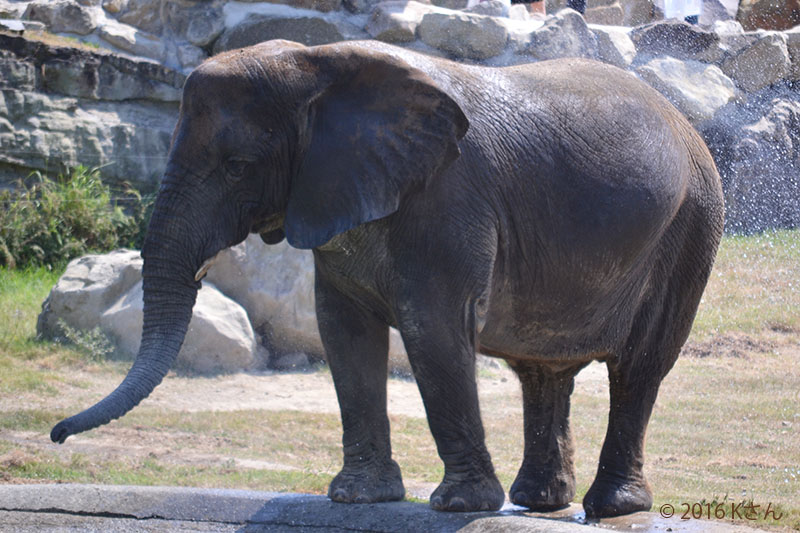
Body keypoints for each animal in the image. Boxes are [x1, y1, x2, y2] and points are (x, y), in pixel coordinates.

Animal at [50, 39, 724, 516]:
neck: (316, 64)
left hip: (692, 224)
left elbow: (434, 328)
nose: (57, 436)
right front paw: (356, 498)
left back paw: (612, 508)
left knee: (639, 364)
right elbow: (343, 333)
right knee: (541, 372)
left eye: (238, 166)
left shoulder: (448, 201)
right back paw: (538, 503)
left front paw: (457, 506)